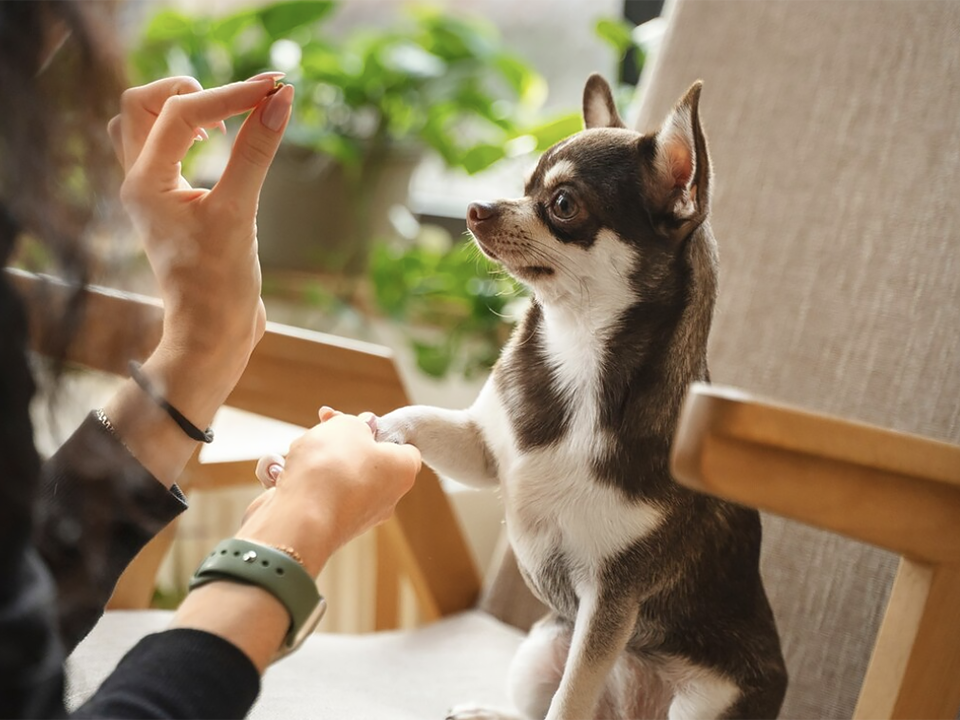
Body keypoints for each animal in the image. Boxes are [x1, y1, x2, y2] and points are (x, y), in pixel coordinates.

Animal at [372, 74, 784, 720]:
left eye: (563, 204)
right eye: (524, 187)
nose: (476, 208)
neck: (580, 353)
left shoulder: (610, 600)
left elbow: (571, 698)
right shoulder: (484, 452)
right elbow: (422, 418)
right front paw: (375, 429)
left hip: (704, 699)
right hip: (543, 643)